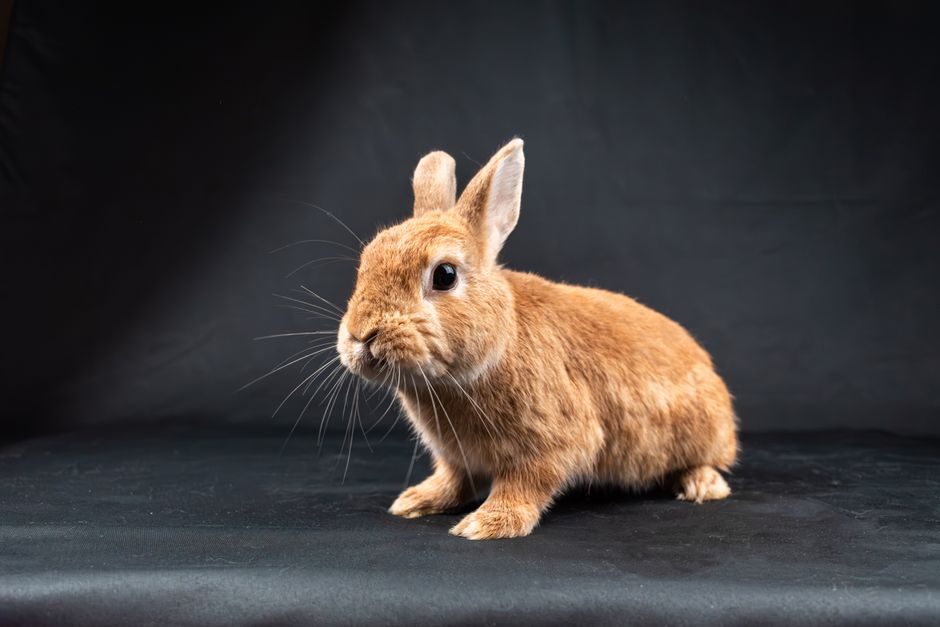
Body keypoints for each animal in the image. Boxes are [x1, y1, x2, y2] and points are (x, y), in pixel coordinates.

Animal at [336, 139, 738, 540]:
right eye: (366, 261)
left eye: (445, 275)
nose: (361, 333)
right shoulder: (456, 457)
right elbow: (454, 479)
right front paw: (416, 501)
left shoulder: (551, 443)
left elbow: (525, 484)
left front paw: (487, 523)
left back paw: (702, 485)